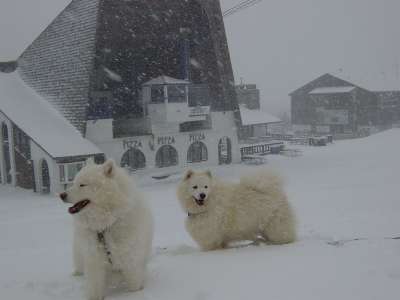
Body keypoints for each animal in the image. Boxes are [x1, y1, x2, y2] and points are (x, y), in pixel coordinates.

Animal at [59, 159, 153, 300]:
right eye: (74, 182)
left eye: (82, 185)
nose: (61, 195)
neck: (105, 226)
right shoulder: (95, 260)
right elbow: (95, 287)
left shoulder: (131, 261)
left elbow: (134, 285)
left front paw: (136, 294)